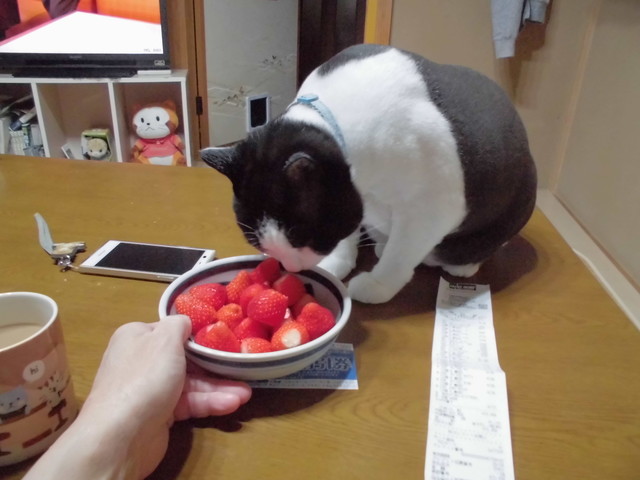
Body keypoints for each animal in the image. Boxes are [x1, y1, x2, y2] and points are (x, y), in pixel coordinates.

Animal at [201, 44, 537, 304]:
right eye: (258, 244)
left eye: (299, 237)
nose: (290, 267)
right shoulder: (354, 194)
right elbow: (349, 236)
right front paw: (338, 262)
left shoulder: (431, 209)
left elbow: (400, 255)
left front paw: (377, 284)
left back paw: (460, 264)